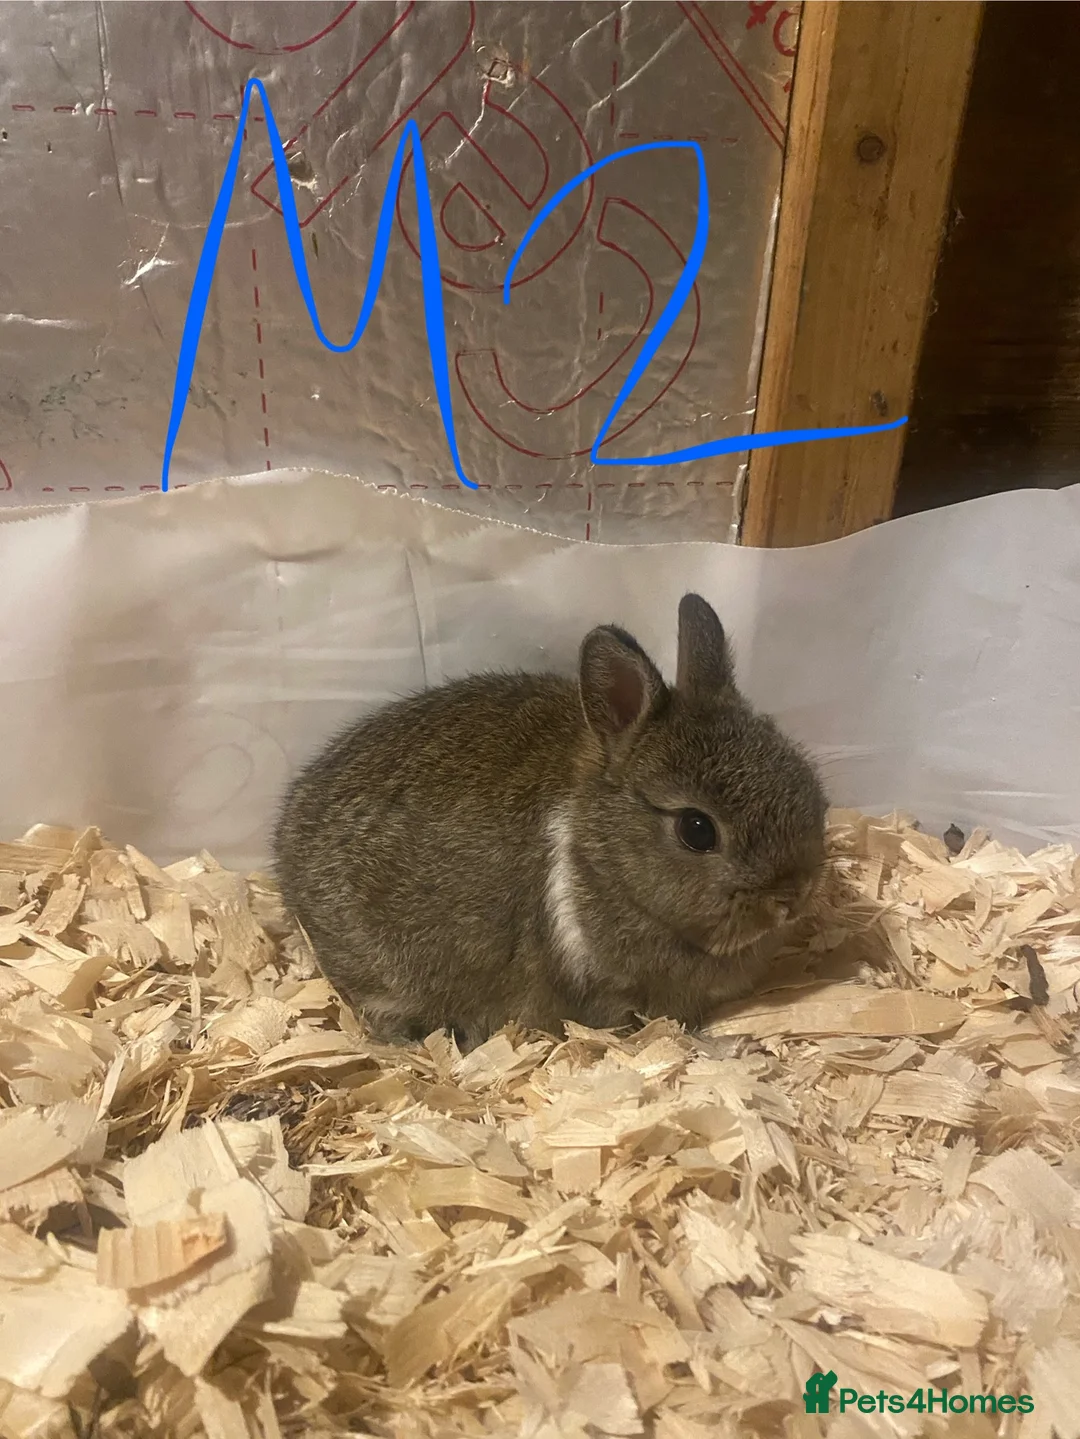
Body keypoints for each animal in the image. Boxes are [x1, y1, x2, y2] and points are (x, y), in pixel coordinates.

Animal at [272, 593, 827, 1050]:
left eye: (801, 774)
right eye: (697, 830)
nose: (793, 895)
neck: (602, 859)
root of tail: (284, 847)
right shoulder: (611, 996)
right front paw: (734, 1047)